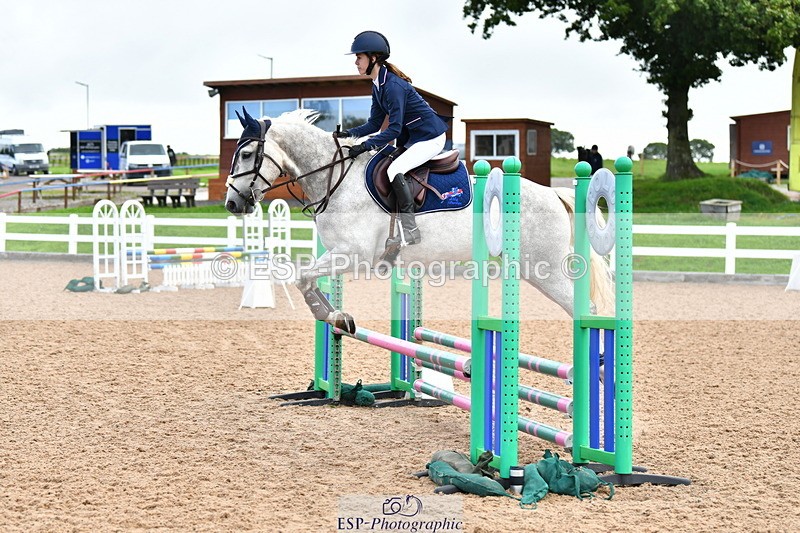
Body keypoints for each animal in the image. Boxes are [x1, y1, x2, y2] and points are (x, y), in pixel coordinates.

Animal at [224, 109, 613, 333]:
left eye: (247, 153)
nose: (231, 202)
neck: (337, 178)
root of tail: (553, 194)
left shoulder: (354, 255)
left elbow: (302, 276)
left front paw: (333, 316)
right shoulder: (336, 252)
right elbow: (304, 278)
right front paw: (336, 317)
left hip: (541, 269)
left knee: (586, 310)